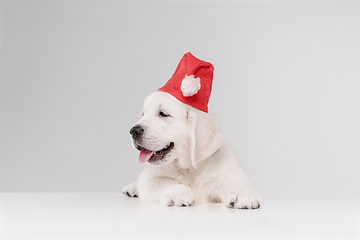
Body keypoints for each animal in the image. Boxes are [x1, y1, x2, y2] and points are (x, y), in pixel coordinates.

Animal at [122, 91, 260, 209]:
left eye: (163, 113)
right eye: (143, 115)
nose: (133, 131)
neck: (190, 168)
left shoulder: (228, 170)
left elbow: (234, 180)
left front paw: (244, 194)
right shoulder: (149, 178)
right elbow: (163, 181)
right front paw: (179, 192)